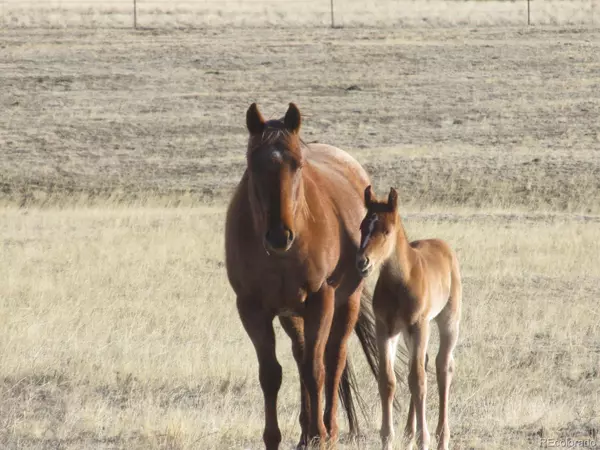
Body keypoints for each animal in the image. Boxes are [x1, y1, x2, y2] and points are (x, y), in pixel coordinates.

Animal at [225, 103, 390, 448]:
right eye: (252, 165)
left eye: (298, 164)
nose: (279, 235)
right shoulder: (251, 309)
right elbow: (271, 374)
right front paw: (273, 438)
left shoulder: (320, 299)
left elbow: (317, 371)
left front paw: (320, 434)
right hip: (292, 314)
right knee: (301, 357)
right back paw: (304, 433)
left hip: (346, 302)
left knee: (333, 359)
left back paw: (327, 430)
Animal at [356, 185, 464, 450]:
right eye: (363, 227)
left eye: (386, 231)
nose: (362, 262)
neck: (400, 281)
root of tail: (442, 245)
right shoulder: (385, 329)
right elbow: (388, 380)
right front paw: (387, 437)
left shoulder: (419, 325)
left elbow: (418, 380)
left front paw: (423, 439)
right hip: (406, 332)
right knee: (422, 362)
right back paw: (408, 433)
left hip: (449, 320)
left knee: (443, 366)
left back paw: (441, 438)